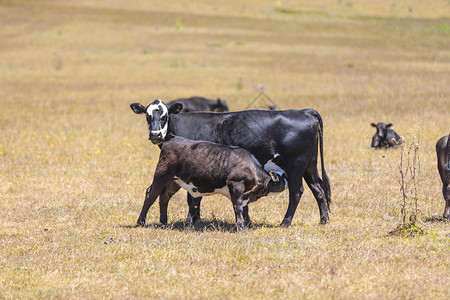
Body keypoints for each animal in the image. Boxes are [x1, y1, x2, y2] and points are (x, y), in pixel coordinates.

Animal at [135, 136, 288, 230]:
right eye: (282, 177)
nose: (287, 181)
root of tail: (171, 139)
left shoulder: (245, 194)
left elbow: (245, 209)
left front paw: (248, 224)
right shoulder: (236, 185)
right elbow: (238, 207)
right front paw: (241, 228)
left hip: (174, 181)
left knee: (164, 197)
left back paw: (164, 222)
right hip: (162, 174)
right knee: (151, 195)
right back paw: (140, 222)